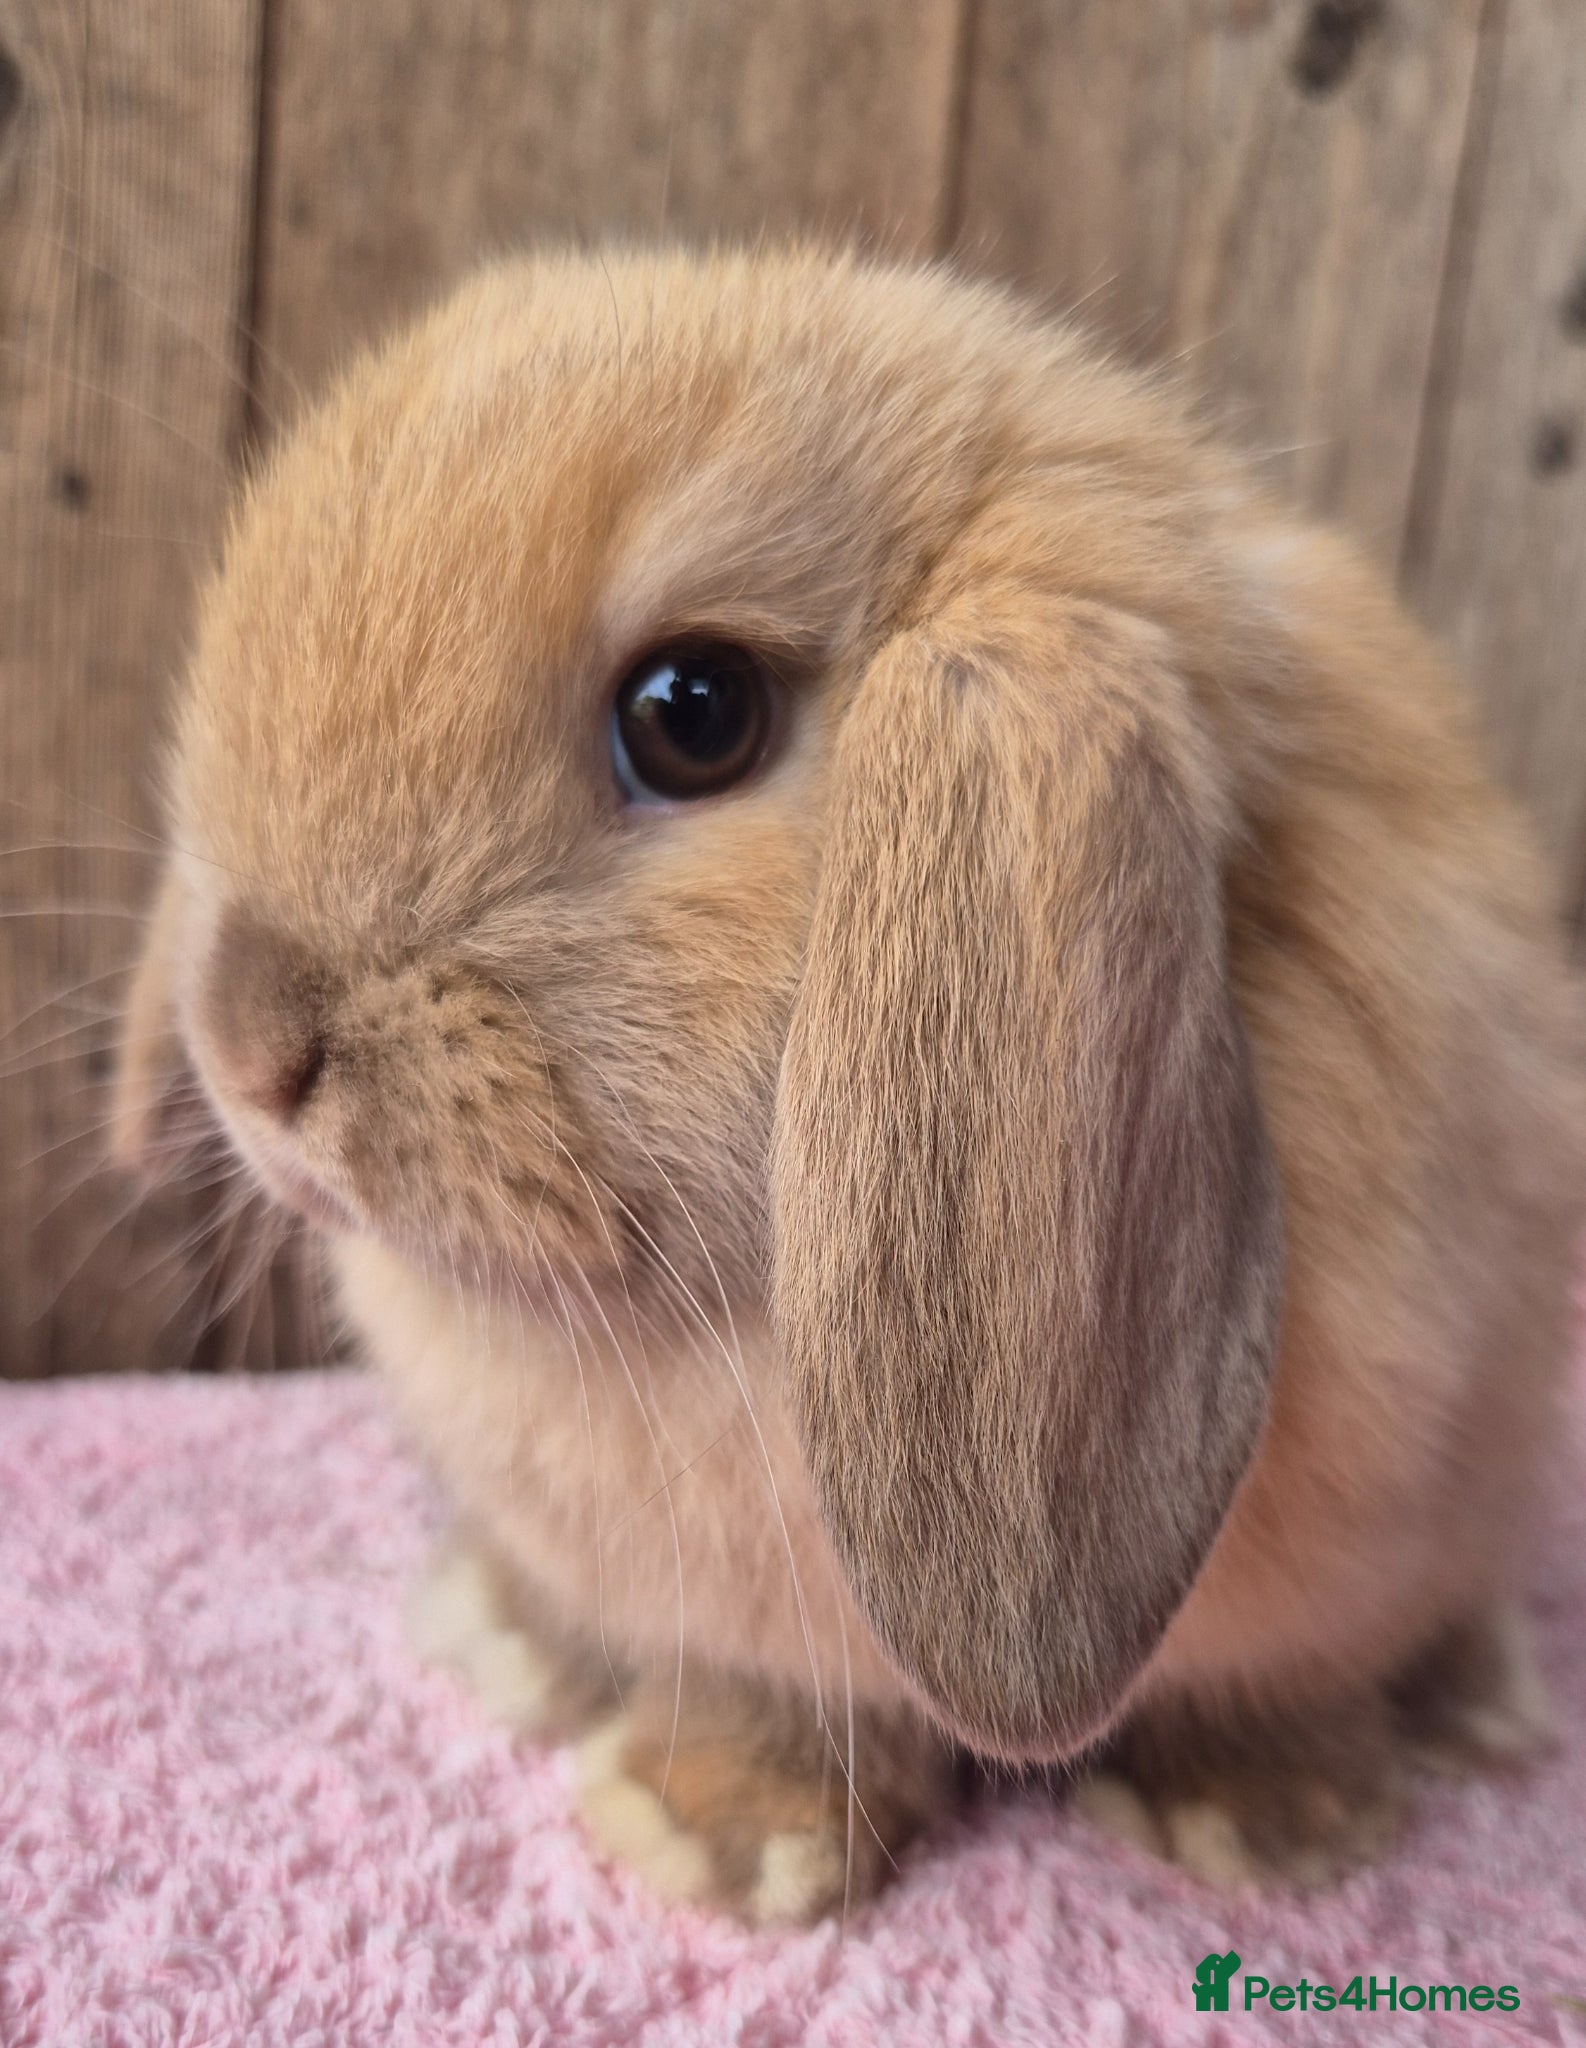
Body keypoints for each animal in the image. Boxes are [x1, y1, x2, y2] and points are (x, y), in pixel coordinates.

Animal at [113, 244, 1584, 1923]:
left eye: (691, 713)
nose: (245, 1044)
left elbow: (1278, 1683)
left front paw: (1258, 1828)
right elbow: (759, 1706)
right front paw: (707, 1838)